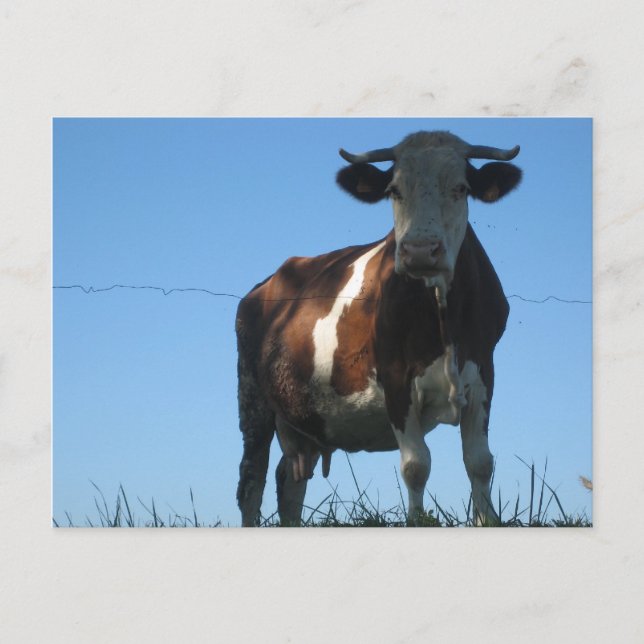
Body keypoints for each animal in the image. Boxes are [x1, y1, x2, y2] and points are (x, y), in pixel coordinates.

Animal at [235, 130, 522, 526]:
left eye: (461, 188)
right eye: (394, 190)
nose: (420, 250)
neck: (442, 314)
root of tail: (264, 285)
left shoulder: (483, 370)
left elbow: (479, 462)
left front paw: (488, 521)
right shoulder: (396, 377)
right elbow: (416, 465)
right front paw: (417, 521)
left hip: (305, 416)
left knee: (289, 479)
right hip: (253, 398)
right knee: (252, 479)